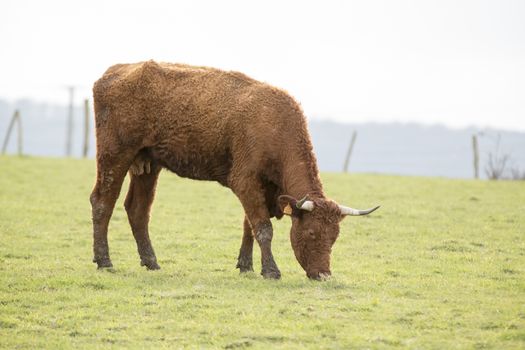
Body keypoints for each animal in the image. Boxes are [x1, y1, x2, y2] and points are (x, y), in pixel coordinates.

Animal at [90, 60, 376, 278]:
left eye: (334, 236)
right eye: (312, 232)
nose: (324, 275)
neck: (274, 124)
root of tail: (114, 71)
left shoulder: (262, 189)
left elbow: (249, 226)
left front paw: (246, 266)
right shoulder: (245, 181)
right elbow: (263, 227)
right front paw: (271, 271)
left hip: (148, 164)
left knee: (138, 210)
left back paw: (151, 262)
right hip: (114, 156)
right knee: (102, 202)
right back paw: (104, 261)